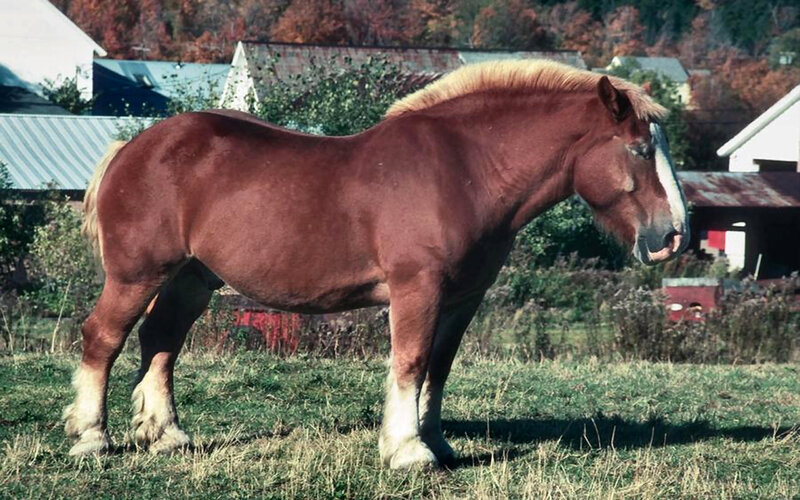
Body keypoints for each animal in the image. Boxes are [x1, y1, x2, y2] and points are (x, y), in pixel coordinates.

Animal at [63, 60, 689, 468]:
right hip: (137, 273)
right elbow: (409, 363)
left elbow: (438, 367)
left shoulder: (463, 298)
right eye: (639, 149)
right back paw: (92, 437)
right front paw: (408, 450)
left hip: (193, 278)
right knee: (103, 338)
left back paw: (167, 435)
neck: (466, 168)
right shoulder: (419, 289)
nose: (672, 236)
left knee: (161, 340)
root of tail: (135, 148)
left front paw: (435, 443)